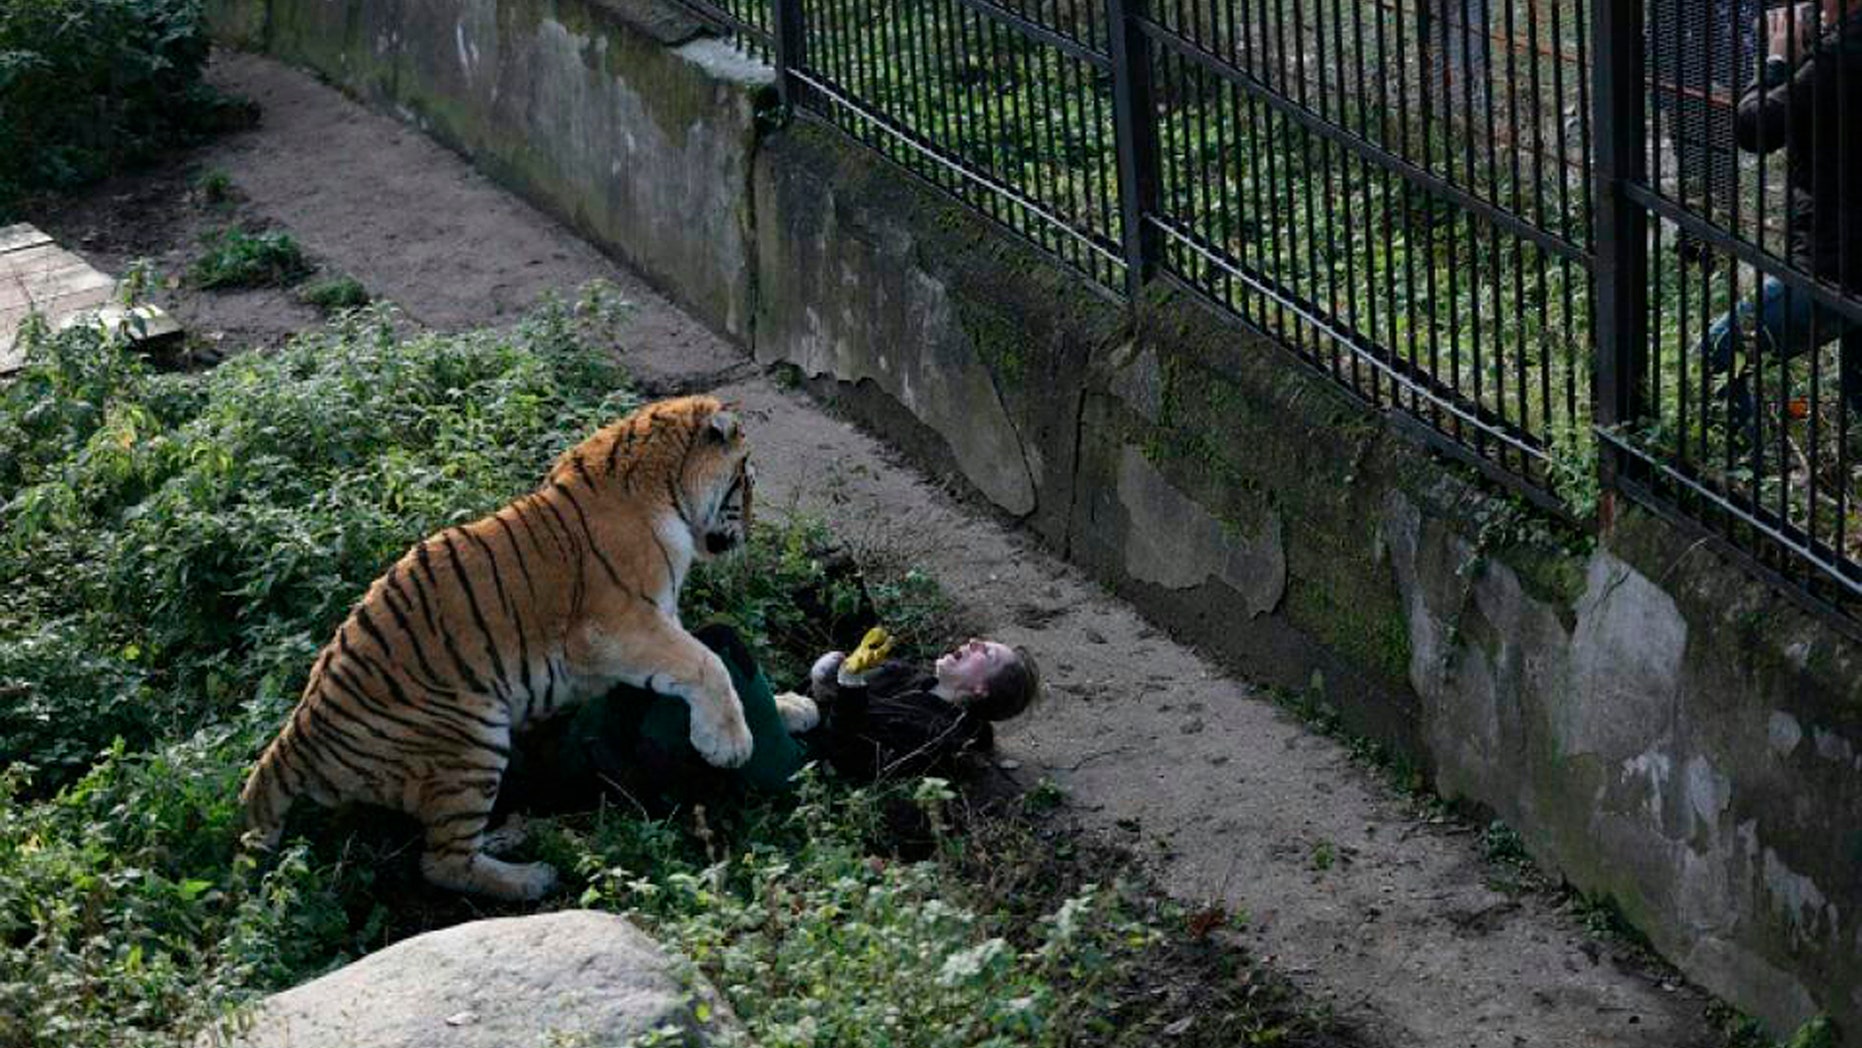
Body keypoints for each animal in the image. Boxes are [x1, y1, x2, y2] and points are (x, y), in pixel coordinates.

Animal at [238, 394, 755, 900]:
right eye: (747, 480)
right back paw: (532, 879)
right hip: (471, 739)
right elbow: (705, 663)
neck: (667, 488)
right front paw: (729, 744)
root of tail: (296, 737)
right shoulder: (615, 626)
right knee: (442, 862)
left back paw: (513, 833)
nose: (750, 529)